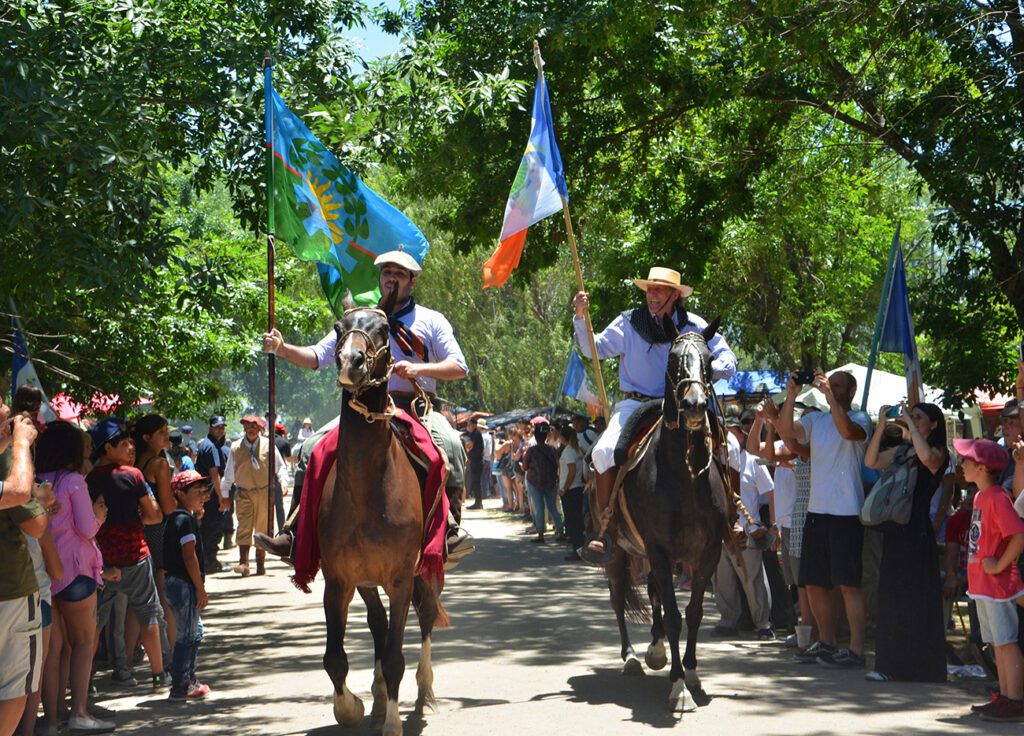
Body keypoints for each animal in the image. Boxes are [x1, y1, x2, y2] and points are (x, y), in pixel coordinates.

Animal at [321, 305, 446, 736]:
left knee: (426, 617)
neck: (365, 491)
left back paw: (424, 691)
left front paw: (392, 722)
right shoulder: (338, 581)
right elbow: (335, 658)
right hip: (366, 581)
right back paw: (376, 698)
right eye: (339, 328)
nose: (351, 361)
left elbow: (394, 656)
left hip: (424, 570)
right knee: (377, 624)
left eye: (384, 329)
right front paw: (352, 709)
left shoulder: (400, 579)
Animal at [602, 323, 733, 712]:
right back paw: (631, 655)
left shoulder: (706, 553)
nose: (694, 405)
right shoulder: (659, 549)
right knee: (619, 597)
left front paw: (691, 673)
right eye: (674, 360)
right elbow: (675, 615)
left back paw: (656, 649)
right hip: (617, 552)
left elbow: (693, 612)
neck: (685, 478)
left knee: (653, 591)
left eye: (709, 360)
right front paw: (678, 687)